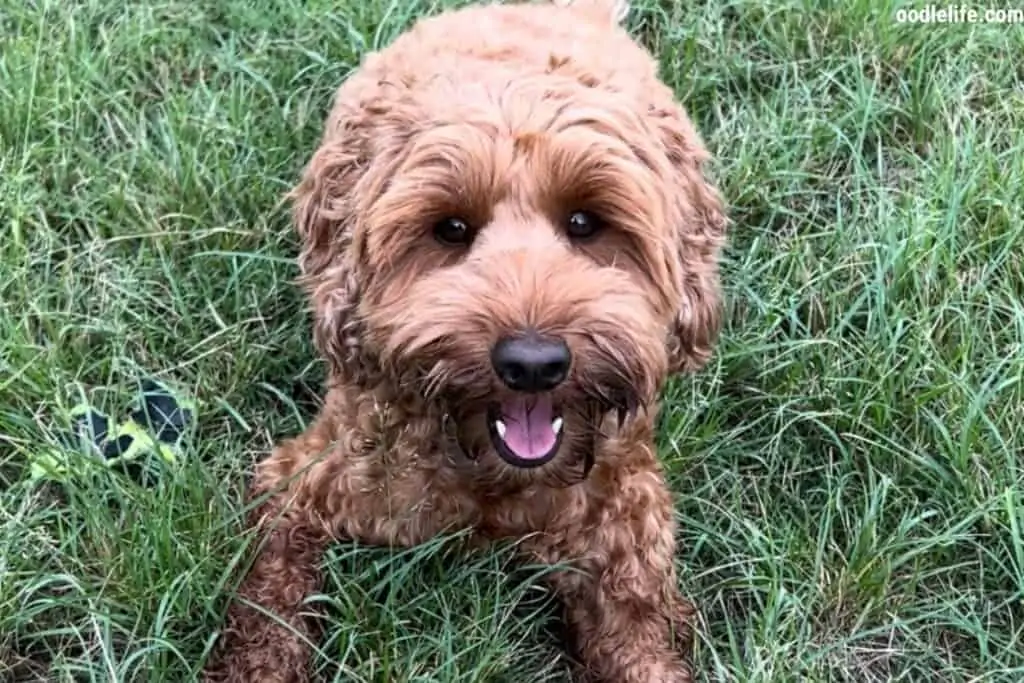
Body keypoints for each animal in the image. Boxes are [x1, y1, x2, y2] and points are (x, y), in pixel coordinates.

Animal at [201, 2, 729, 679]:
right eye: (451, 229)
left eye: (585, 222)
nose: (533, 364)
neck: (489, 478)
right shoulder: (309, 480)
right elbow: (269, 604)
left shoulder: (627, 521)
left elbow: (638, 635)